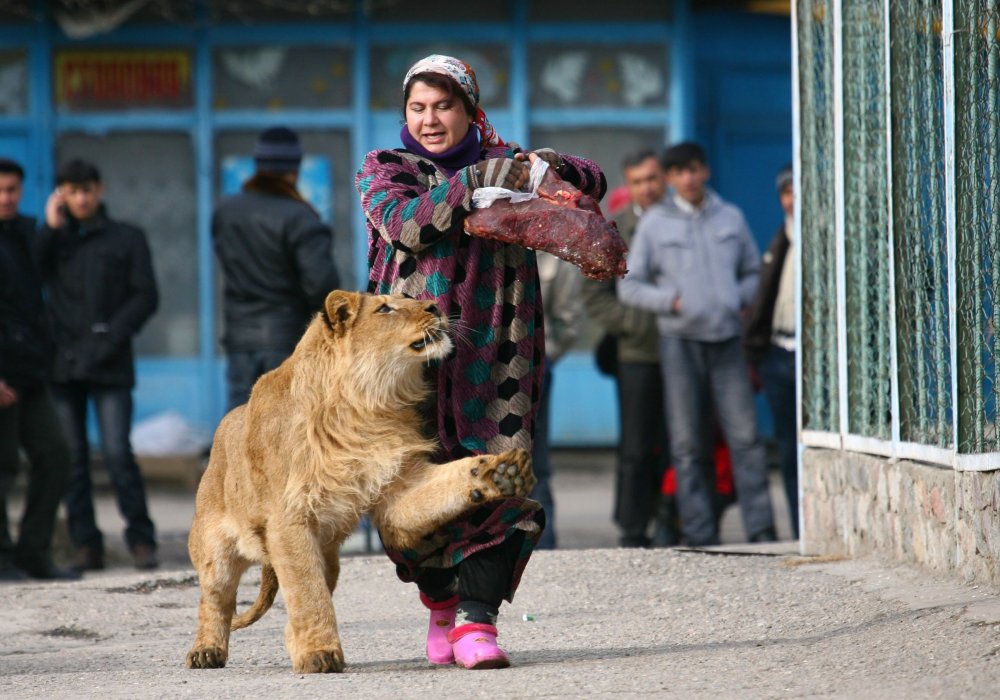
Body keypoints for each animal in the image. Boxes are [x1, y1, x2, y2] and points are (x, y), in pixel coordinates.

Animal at [184, 288, 536, 672]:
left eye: (408, 298)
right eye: (384, 309)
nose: (435, 306)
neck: (367, 405)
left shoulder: (398, 487)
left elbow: (446, 484)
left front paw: (500, 473)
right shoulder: (288, 520)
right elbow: (307, 592)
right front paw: (320, 653)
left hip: (328, 557)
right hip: (215, 550)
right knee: (214, 600)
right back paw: (207, 650)